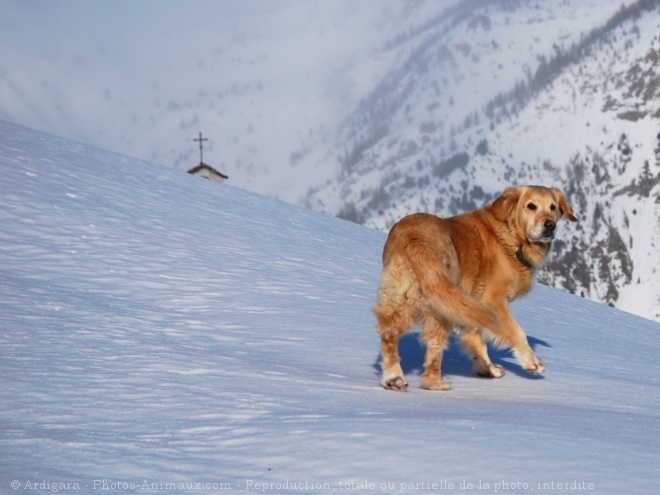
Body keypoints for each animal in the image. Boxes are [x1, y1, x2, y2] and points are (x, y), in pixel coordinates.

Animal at [374, 185, 576, 392]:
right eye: (531, 206)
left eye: (553, 207)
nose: (550, 225)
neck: (510, 234)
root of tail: (416, 239)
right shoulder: (492, 301)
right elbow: (516, 331)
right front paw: (532, 362)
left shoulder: (467, 306)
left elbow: (477, 340)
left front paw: (488, 369)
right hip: (442, 305)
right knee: (433, 350)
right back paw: (436, 383)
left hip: (408, 299)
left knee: (390, 333)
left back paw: (394, 377)